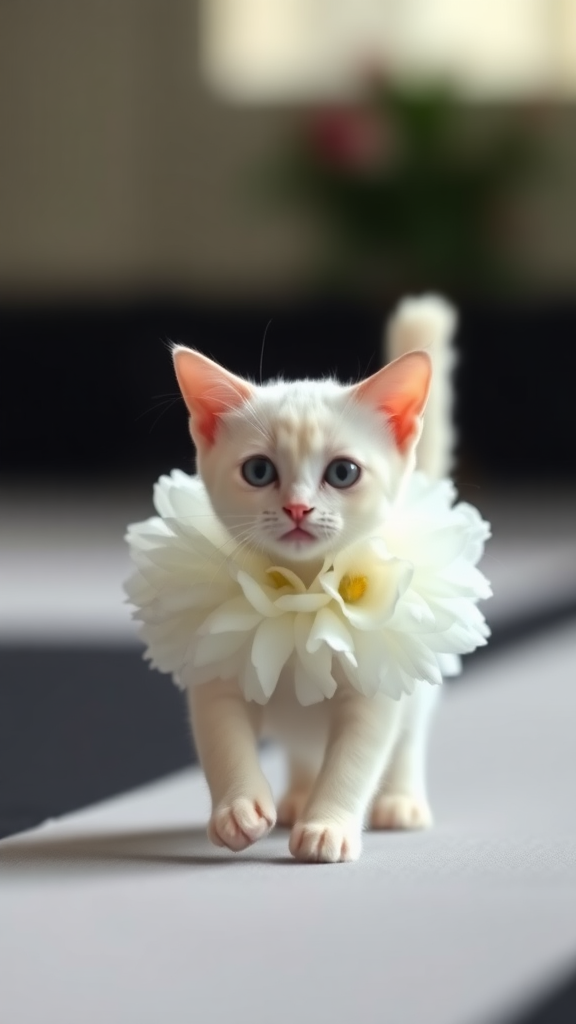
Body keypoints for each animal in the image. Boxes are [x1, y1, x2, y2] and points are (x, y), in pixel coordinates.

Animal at [170, 292, 457, 860]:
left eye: (342, 472)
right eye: (259, 471)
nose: (298, 508)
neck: (301, 596)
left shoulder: (376, 691)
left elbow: (354, 759)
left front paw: (330, 824)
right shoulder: (216, 666)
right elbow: (223, 738)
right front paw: (238, 806)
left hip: (416, 677)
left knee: (409, 738)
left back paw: (399, 801)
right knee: (304, 746)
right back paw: (298, 796)